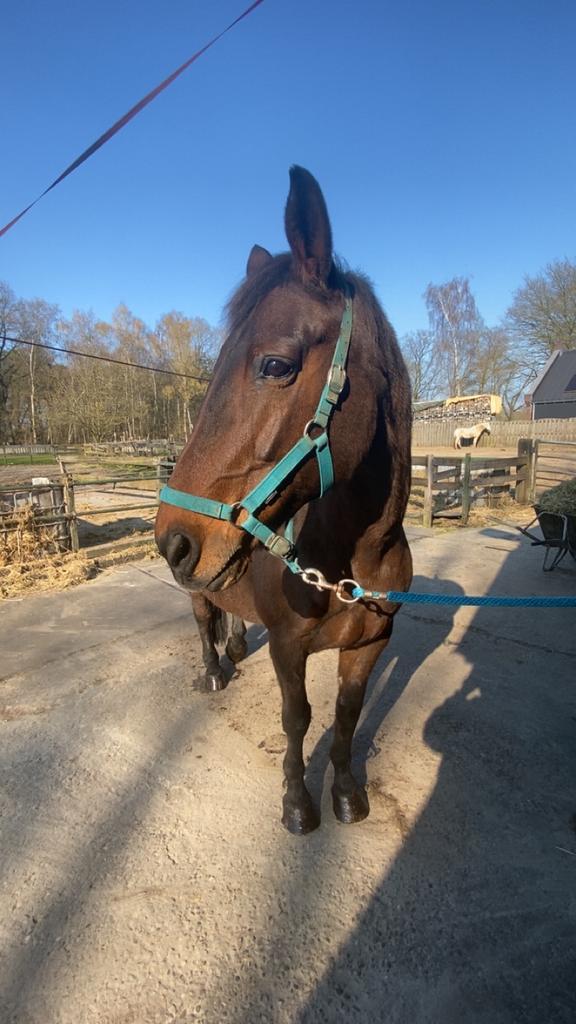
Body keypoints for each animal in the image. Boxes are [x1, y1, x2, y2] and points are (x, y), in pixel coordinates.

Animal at [155, 166, 413, 835]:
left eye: (274, 364)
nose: (174, 540)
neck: (352, 560)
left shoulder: (371, 646)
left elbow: (346, 716)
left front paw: (346, 795)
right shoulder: (291, 648)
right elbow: (297, 720)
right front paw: (298, 803)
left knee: (228, 613)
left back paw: (234, 646)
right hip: (199, 592)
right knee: (203, 618)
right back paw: (214, 670)